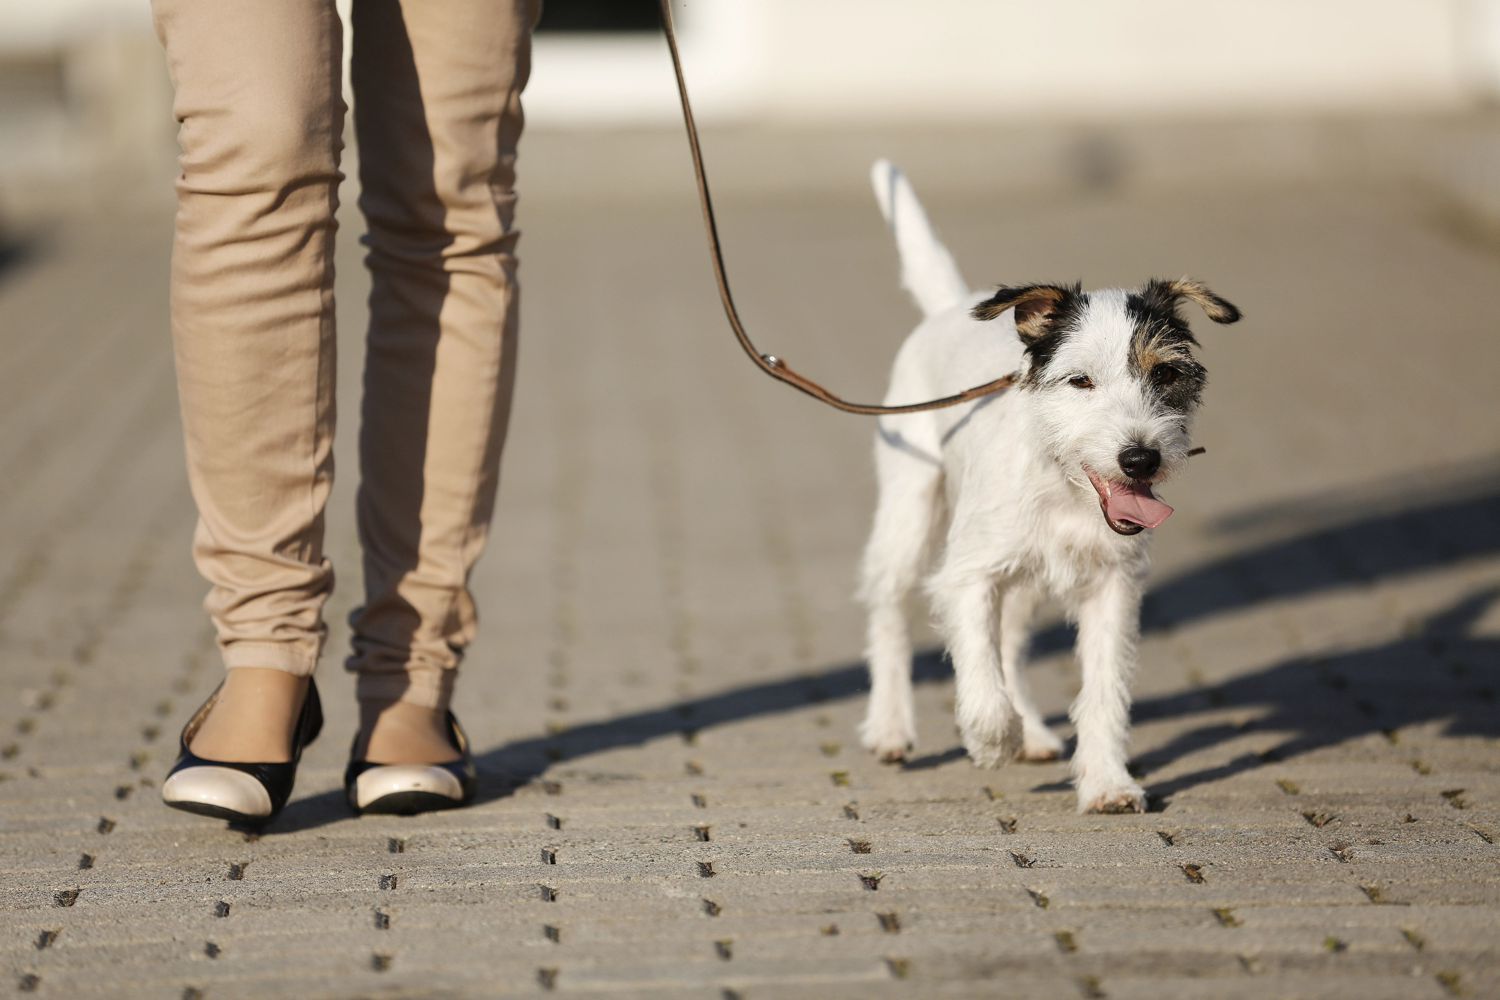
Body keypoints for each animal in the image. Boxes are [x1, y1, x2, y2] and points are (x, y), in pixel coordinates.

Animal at [858, 162, 1242, 815]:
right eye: (1079, 381)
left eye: (1166, 372)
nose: (1140, 459)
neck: (1064, 487)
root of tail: (951, 307)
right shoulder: (968, 575)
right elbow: (979, 669)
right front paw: (991, 740)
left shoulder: (1114, 588)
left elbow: (1104, 691)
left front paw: (1108, 783)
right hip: (909, 510)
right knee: (889, 608)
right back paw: (891, 727)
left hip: (1026, 578)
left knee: (1010, 642)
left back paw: (1034, 734)